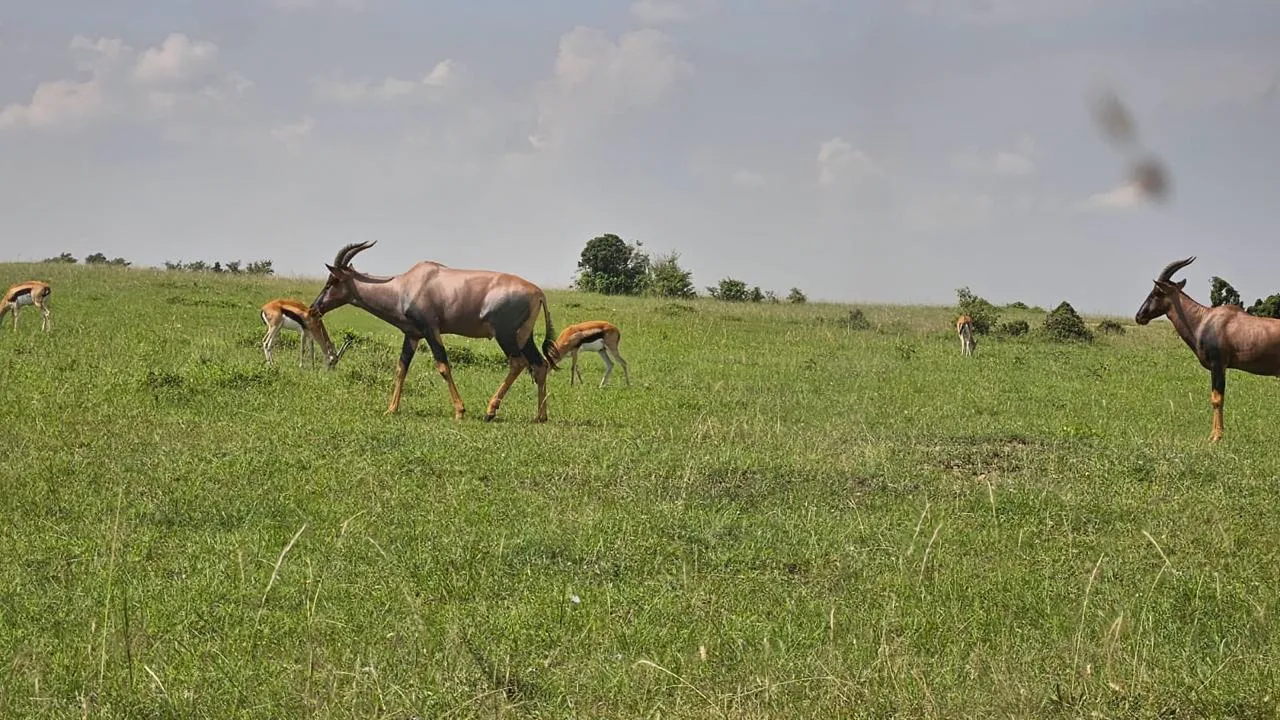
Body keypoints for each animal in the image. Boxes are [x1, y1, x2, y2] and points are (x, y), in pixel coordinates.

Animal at [309, 240, 560, 420]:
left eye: (332, 281)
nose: (314, 308)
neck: (406, 285)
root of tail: (538, 292)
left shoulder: (431, 330)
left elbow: (442, 366)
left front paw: (459, 411)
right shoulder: (412, 335)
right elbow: (401, 368)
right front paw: (391, 409)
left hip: (505, 335)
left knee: (518, 363)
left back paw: (490, 411)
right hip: (523, 336)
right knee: (539, 365)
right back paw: (541, 416)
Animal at [1136, 254, 1280, 440]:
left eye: (1156, 292)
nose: (1139, 316)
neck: (1205, 319)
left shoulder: (1217, 364)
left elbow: (1216, 399)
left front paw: (1216, 437)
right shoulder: (1221, 367)